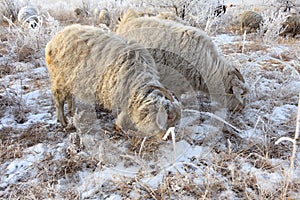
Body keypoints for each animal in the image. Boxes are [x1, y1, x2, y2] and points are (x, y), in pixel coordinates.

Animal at [44, 23, 180, 138]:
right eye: (168, 117)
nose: (168, 137)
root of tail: (53, 40)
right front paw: (120, 127)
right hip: (59, 78)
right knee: (58, 98)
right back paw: (62, 121)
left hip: (70, 81)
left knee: (69, 96)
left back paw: (72, 113)